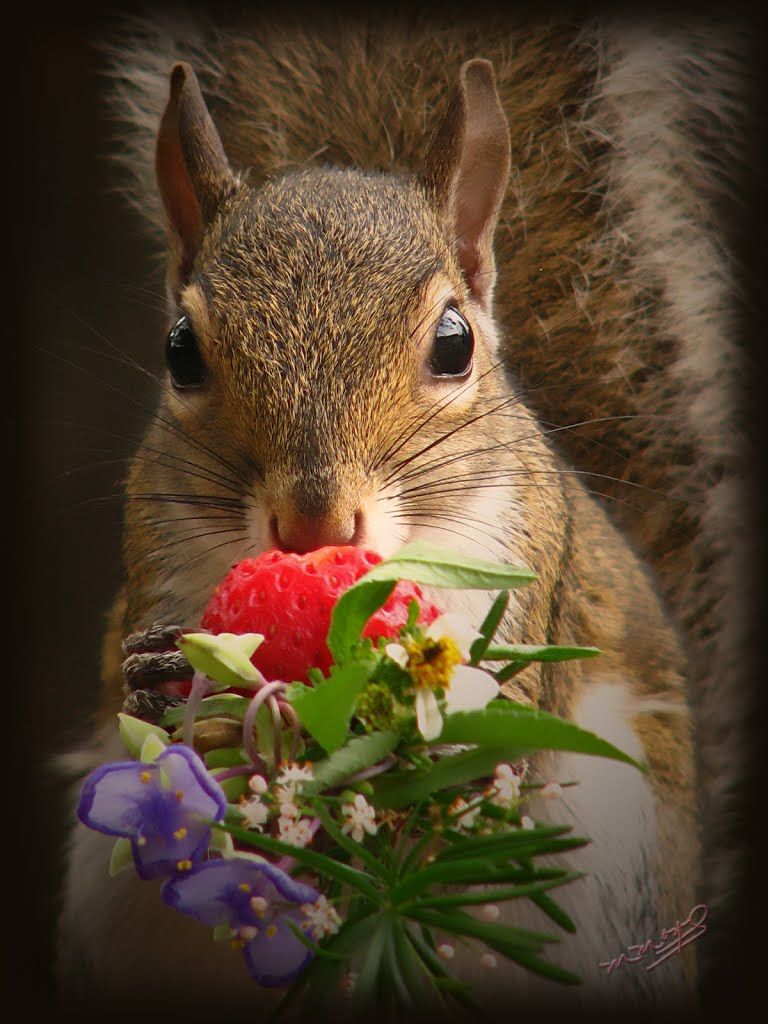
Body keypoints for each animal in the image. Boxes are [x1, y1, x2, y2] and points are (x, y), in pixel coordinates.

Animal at [57, 9, 749, 1015]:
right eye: (180, 350)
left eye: (454, 344)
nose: (314, 525)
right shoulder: (152, 555)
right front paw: (168, 685)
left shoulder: (527, 570)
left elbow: (494, 744)